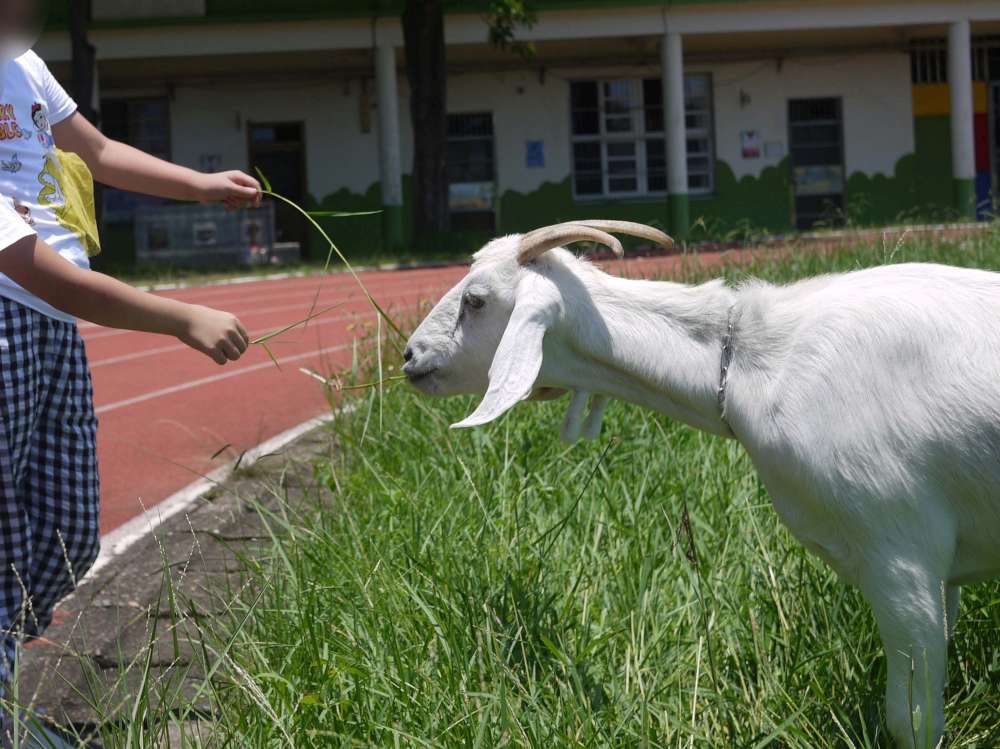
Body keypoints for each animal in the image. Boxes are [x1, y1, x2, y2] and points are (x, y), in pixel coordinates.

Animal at [402, 222, 1000, 748]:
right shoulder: (939, 574)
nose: (410, 355)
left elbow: (912, 723)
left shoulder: (899, 554)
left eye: (476, 300)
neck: (752, 361)